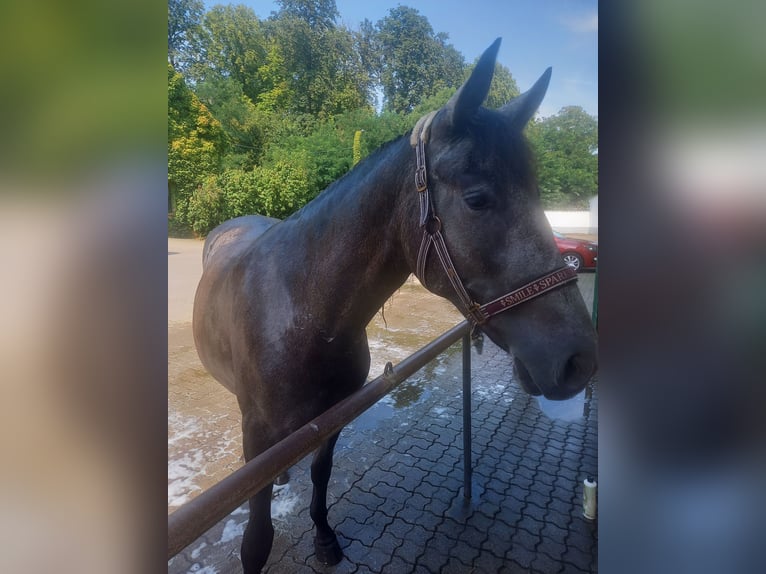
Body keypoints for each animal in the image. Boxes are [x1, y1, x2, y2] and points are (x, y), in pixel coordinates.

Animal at [194, 38, 600, 572]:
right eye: (477, 198)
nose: (579, 360)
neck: (302, 312)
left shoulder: (333, 419)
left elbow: (321, 475)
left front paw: (325, 538)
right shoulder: (257, 438)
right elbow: (257, 536)